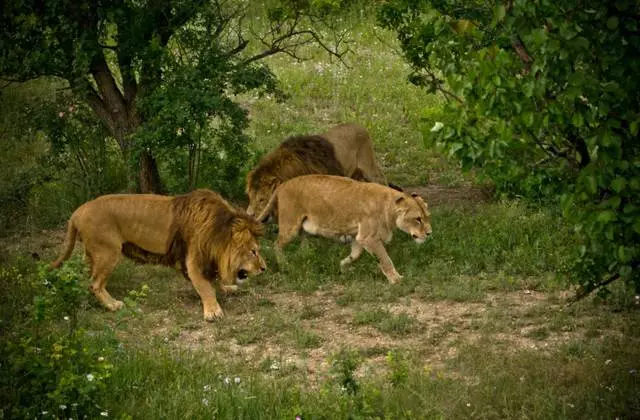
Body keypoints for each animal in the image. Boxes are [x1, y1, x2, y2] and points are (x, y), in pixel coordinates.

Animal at [50, 189, 268, 320]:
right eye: (253, 251)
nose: (264, 269)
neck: (217, 233)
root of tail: (77, 212)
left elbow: (214, 280)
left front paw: (227, 288)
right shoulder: (193, 259)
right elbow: (205, 287)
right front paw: (213, 311)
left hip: (92, 254)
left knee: (89, 278)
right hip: (108, 252)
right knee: (95, 283)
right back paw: (112, 305)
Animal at [246, 121, 390, 218]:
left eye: (261, 199)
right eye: (250, 197)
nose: (249, 215)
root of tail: (360, 126)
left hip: (368, 166)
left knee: (382, 181)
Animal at [258, 172, 432, 284]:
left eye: (427, 216)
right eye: (418, 219)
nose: (430, 233)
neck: (389, 206)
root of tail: (282, 185)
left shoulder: (359, 238)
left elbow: (355, 256)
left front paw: (342, 267)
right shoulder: (369, 238)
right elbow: (385, 259)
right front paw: (396, 279)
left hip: (302, 227)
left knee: (302, 243)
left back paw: (306, 256)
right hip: (290, 227)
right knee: (276, 245)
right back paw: (285, 265)